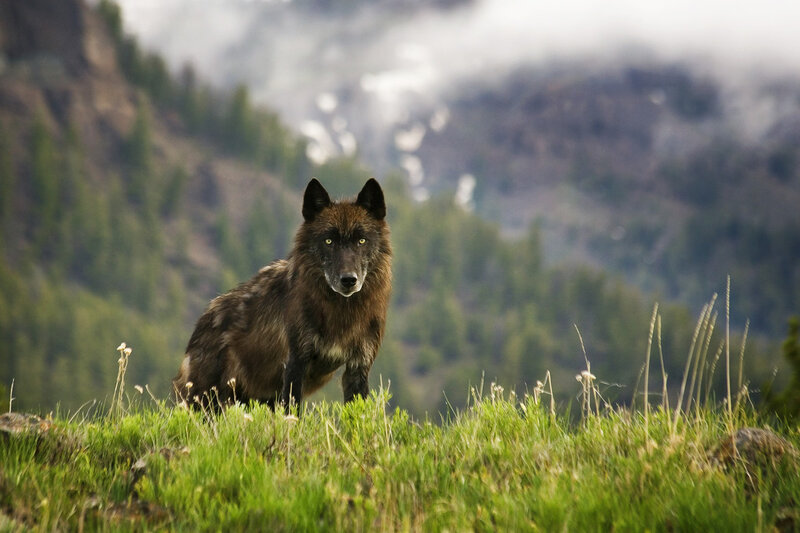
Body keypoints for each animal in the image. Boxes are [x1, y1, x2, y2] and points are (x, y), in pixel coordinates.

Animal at [174, 178, 392, 410]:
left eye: (362, 241)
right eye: (328, 241)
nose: (349, 280)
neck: (340, 313)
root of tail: (204, 317)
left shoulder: (358, 367)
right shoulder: (296, 362)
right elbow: (292, 412)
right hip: (210, 401)